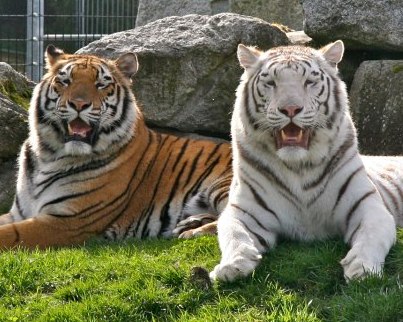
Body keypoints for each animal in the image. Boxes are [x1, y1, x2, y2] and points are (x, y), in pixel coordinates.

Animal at [0, 45, 230, 248]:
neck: (48, 155)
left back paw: (193, 231)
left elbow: (10, 234)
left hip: (221, 185)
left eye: (101, 84)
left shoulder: (68, 220)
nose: (79, 104)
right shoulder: (19, 213)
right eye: (65, 81)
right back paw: (190, 222)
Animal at [211, 40, 403, 282]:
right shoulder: (244, 211)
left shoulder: (368, 206)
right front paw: (232, 266)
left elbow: (371, 236)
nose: (290, 109)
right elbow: (234, 234)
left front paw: (362, 268)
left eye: (309, 82)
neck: (298, 166)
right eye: (271, 83)